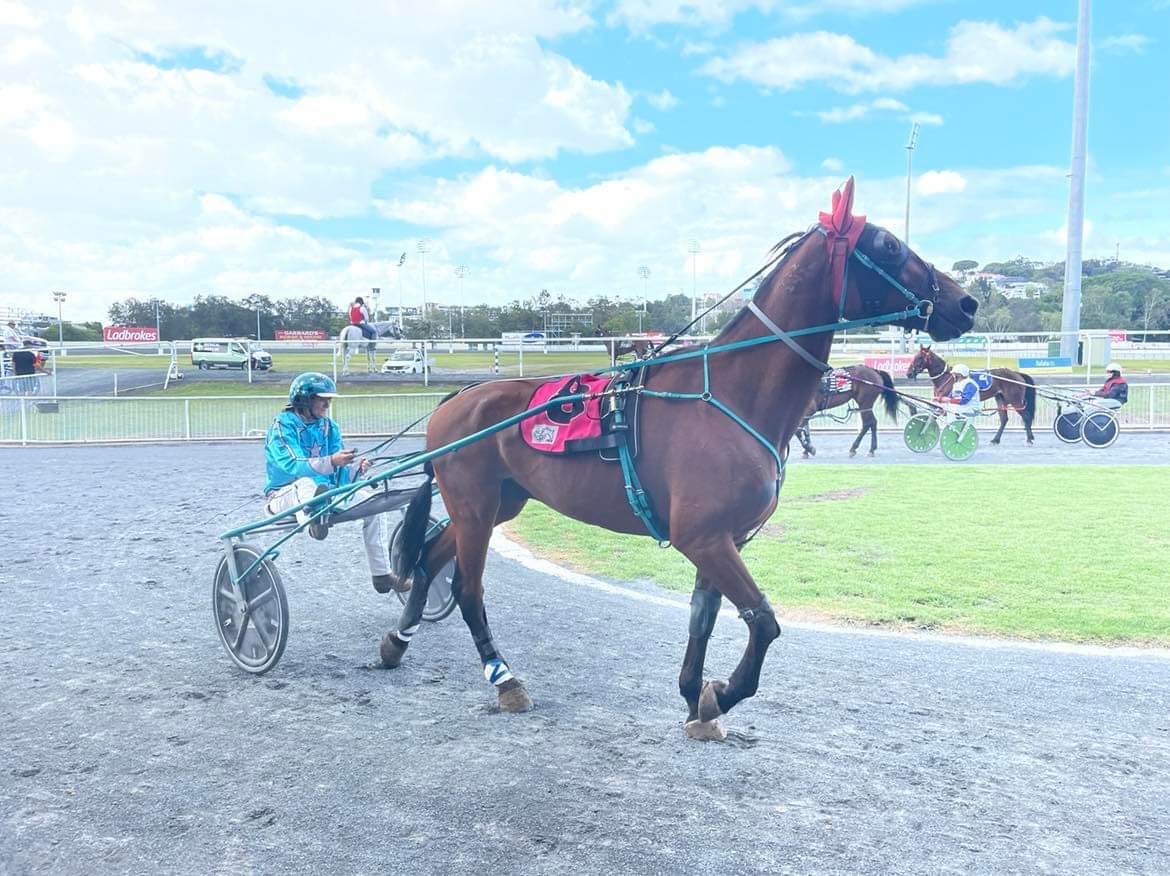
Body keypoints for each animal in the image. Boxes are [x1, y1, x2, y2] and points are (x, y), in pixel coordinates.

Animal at [379, 178, 978, 738]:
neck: (732, 394)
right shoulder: (703, 536)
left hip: (497, 504)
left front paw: (697, 699)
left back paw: (396, 641)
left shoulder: (723, 536)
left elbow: (703, 620)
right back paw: (504, 679)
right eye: (889, 244)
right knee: (467, 588)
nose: (965, 303)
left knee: (429, 559)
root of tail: (457, 398)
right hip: (475, 506)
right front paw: (722, 695)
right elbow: (764, 621)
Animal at [905, 345, 1036, 444]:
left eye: (919, 357)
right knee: (1004, 419)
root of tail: (1017, 374)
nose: (909, 373)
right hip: (1000, 399)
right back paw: (996, 439)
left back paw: (1029, 439)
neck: (946, 378)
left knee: (1026, 416)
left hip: (1015, 400)